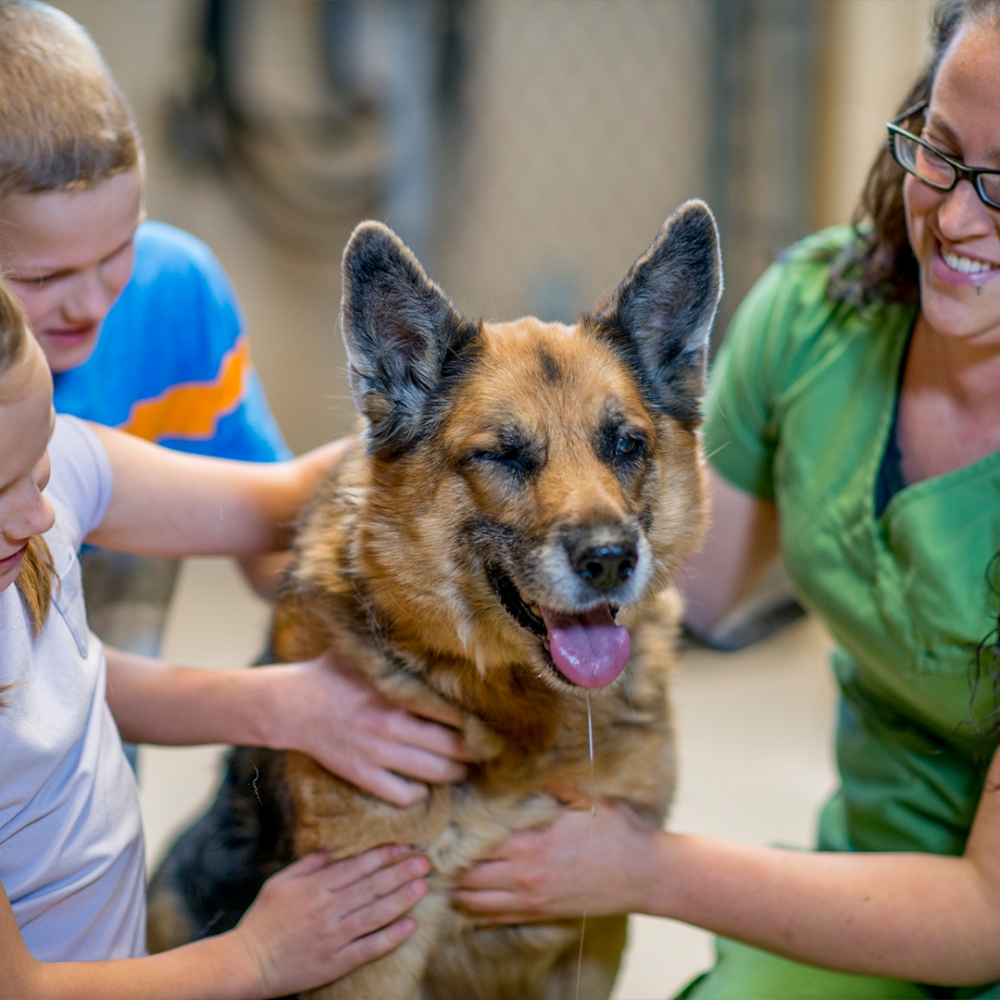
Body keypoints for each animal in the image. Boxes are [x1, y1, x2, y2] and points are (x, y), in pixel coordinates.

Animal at [148, 203, 724, 1000]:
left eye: (625, 444)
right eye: (503, 454)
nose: (611, 561)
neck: (514, 715)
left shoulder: (598, 926)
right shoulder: (372, 958)